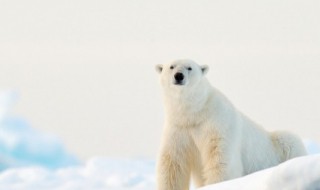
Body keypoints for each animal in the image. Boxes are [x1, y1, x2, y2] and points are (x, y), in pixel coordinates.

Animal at [156, 59, 306, 190]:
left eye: (189, 68)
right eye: (171, 66)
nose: (178, 76)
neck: (195, 112)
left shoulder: (218, 123)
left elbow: (220, 159)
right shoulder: (178, 129)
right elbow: (173, 164)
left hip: (281, 146)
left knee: (290, 141)